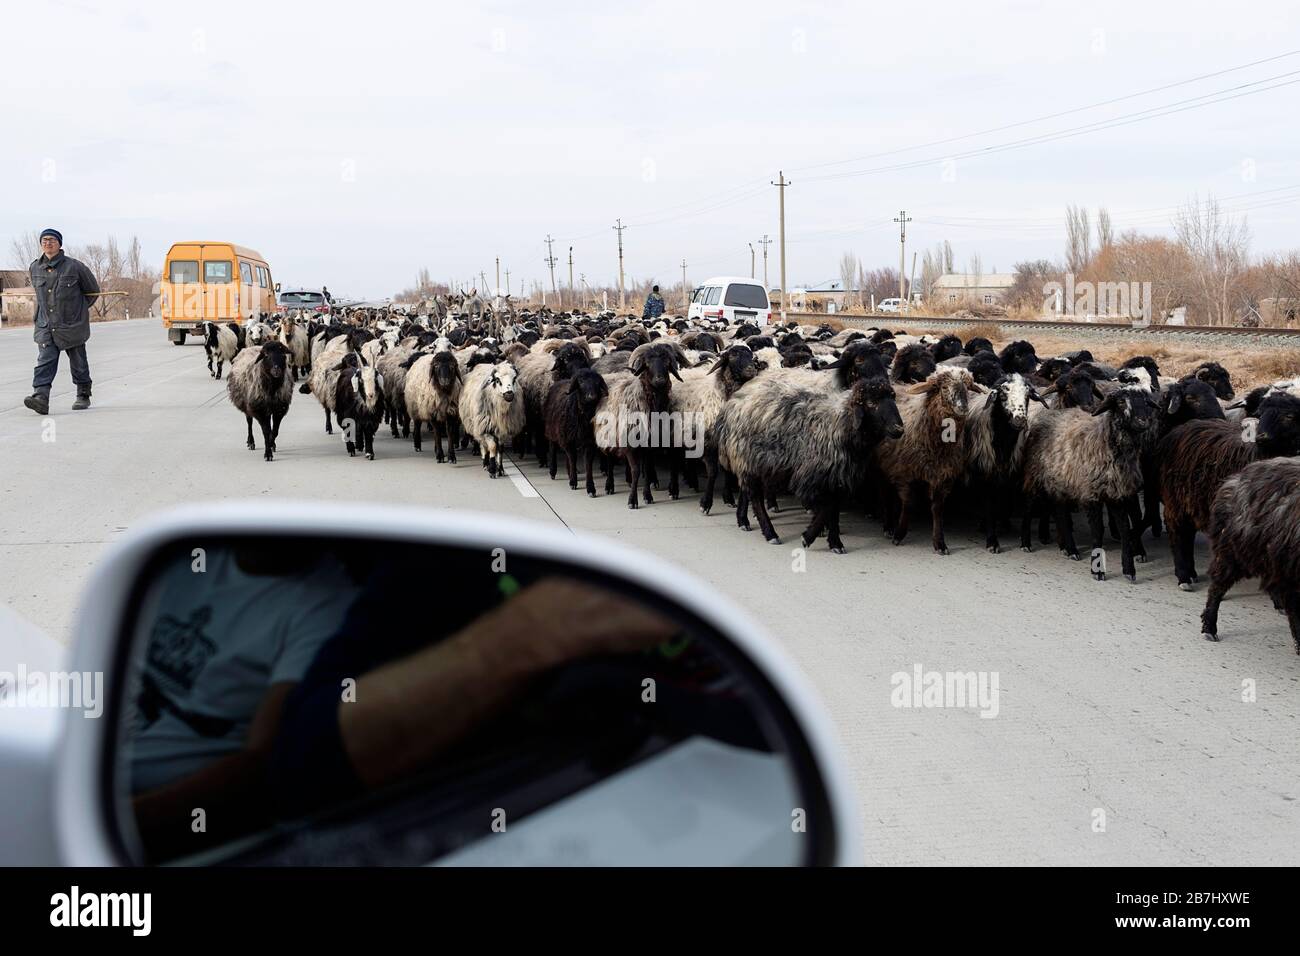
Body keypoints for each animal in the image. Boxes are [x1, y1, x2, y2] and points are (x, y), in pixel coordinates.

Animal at [712, 374, 904, 554]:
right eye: (871, 403)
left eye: (893, 398)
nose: (899, 429)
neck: (839, 425)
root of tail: (732, 403)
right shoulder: (812, 476)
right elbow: (827, 507)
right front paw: (808, 537)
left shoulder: (836, 478)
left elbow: (834, 508)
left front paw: (835, 543)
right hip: (749, 456)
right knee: (756, 497)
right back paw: (770, 533)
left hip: (754, 462)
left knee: (746, 491)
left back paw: (742, 521)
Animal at [878, 369, 977, 556]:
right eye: (944, 387)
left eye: (967, 387)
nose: (963, 407)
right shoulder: (905, 473)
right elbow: (909, 503)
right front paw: (899, 534)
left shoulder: (943, 476)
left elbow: (937, 509)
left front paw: (940, 543)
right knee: (886, 493)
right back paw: (888, 527)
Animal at [1013, 390, 1159, 582]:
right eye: (1120, 402)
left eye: (1146, 401)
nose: (1143, 421)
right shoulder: (1091, 493)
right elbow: (1097, 531)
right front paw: (1097, 571)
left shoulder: (1117, 494)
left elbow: (1125, 530)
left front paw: (1129, 569)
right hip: (1035, 474)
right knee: (1029, 507)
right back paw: (1026, 543)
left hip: (1060, 480)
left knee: (1059, 512)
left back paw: (1070, 549)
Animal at [1159, 390, 1300, 587]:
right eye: (1260, 414)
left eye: (1289, 416)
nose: (1261, 436)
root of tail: (1178, 430)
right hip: (1175, 499)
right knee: (1178, 533)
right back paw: (1184, 576)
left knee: (1188, 533)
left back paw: (1192, 572)